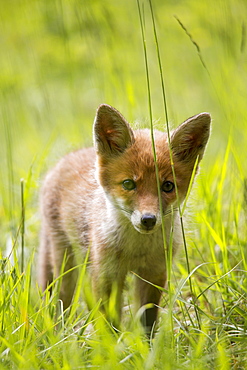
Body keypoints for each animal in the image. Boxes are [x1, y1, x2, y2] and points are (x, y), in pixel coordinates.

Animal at [38, 104, 210, 332]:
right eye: (128, 184)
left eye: (168, 186)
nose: (148, 219)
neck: (136, 250)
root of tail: (66, 158)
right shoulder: (105, 274)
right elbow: (108, 322)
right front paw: (111, 341)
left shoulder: (154, 274)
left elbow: (147, 320)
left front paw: (146, 342)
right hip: (65, 262)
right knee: (61, 298)